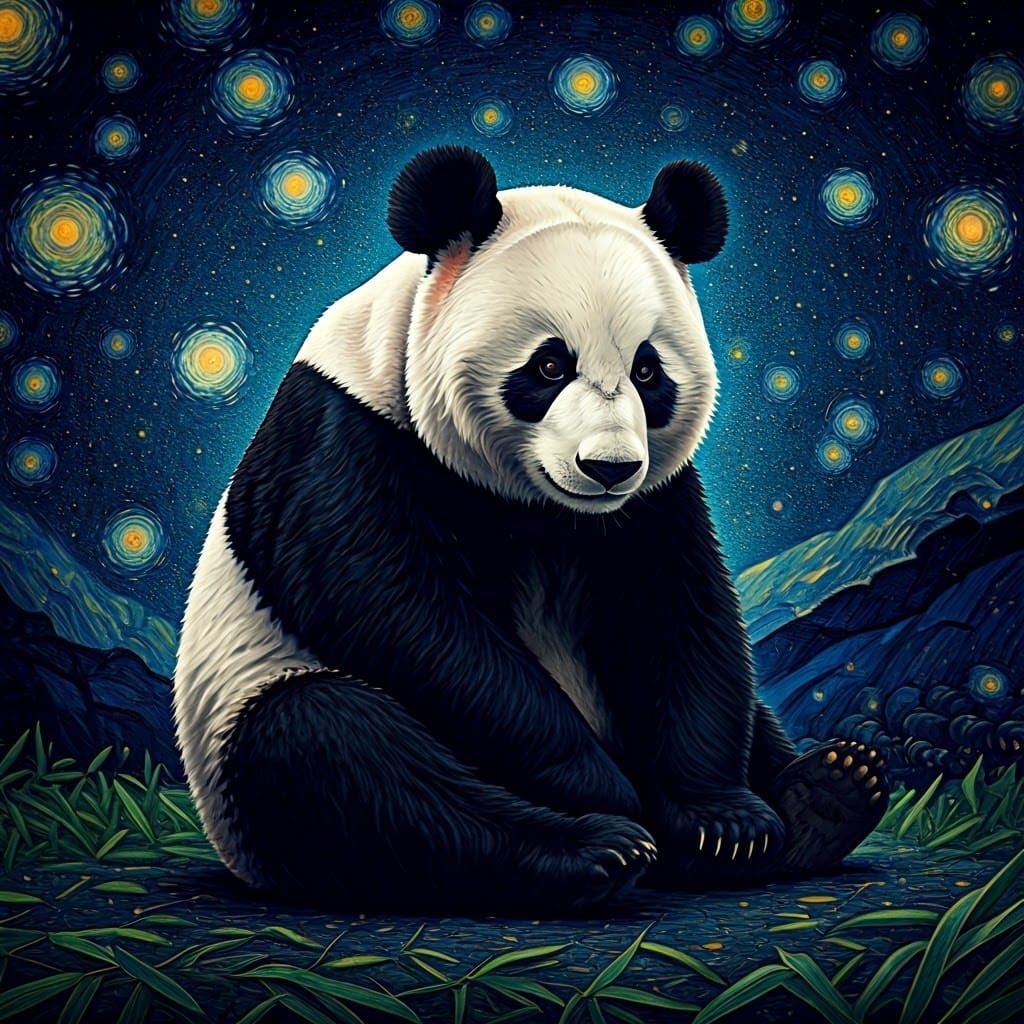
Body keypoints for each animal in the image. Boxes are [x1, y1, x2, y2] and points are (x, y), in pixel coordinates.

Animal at [174, 146, 888, 912]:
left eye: (648, 372)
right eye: (549, 364)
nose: (608, 467)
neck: (542, 507)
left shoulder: (654, 499)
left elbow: (681, 617)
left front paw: (724, 821)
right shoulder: (349, 432)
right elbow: (393, 606)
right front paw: (607, 787)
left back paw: (832, 791)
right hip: (245, 717)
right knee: (340, 756)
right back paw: (596, 850)